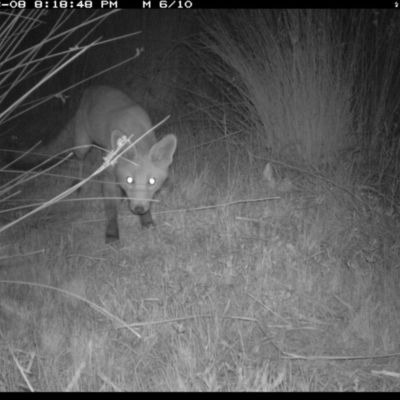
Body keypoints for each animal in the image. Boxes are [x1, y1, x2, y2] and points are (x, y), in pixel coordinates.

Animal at [73, 85, 177, 242]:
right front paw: (111, 234)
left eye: (152, 181)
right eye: (129, 179)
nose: (138, 209)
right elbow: (111, 209)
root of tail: (93, 87)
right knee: (79, 160)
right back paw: (78, 185)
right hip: (83, 145)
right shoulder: (108, 177)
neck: (136, 133)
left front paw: (146, 221)